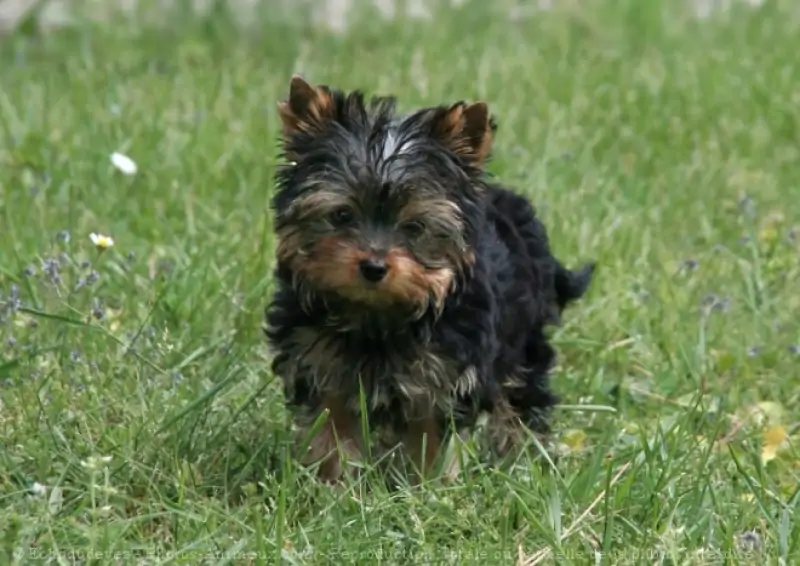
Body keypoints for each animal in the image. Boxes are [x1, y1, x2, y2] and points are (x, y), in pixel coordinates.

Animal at [264, 75, 592, 484]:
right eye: (341, 216)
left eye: (415, 227)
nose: (374, 266)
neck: (377, 314)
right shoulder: (319, 362)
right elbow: (332, 426)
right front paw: (333, 483)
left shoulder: (447, 375)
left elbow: (433, 434)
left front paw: (429, 487)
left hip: (523, 342)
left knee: (520, 395)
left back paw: (518, 457)